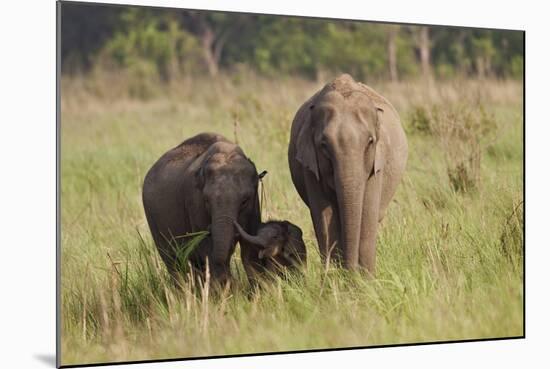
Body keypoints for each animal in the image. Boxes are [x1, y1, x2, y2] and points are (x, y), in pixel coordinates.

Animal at [142, 132, 264, 284]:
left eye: (244, 201)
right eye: (206, 200)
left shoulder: (254, 206)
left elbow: (250, 249)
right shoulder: (194, 200)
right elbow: (206, 250)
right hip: (153, 221)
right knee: (173, 262)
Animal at [288, 73, 410, 274]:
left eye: (370, 141)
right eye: (323, 145)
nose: (350, 272)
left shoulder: (376, 167)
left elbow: (367, 216)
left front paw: (365, 280)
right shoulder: (310, 168)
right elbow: (325, 219)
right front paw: (335, 278)